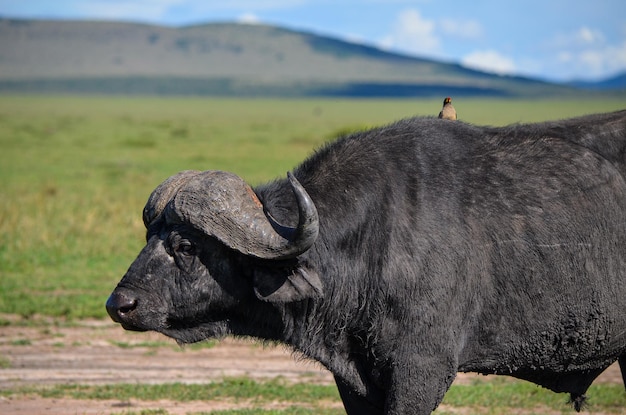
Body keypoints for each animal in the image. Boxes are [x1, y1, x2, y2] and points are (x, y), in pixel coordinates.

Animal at [106, 110, 624, 415]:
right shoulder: (353, 381)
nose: (119, 305)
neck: (374, 238)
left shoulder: (421, 371)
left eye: (186, 245)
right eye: (149, 235)